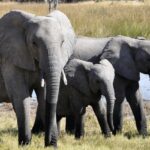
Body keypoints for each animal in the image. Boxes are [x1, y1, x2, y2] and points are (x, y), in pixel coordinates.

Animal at [0, 9, 75, 146]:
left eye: (62, 43)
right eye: (34, 43)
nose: (50, 143)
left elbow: (44, 95)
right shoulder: (10, 59)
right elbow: (20, 95)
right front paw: (25, 144)